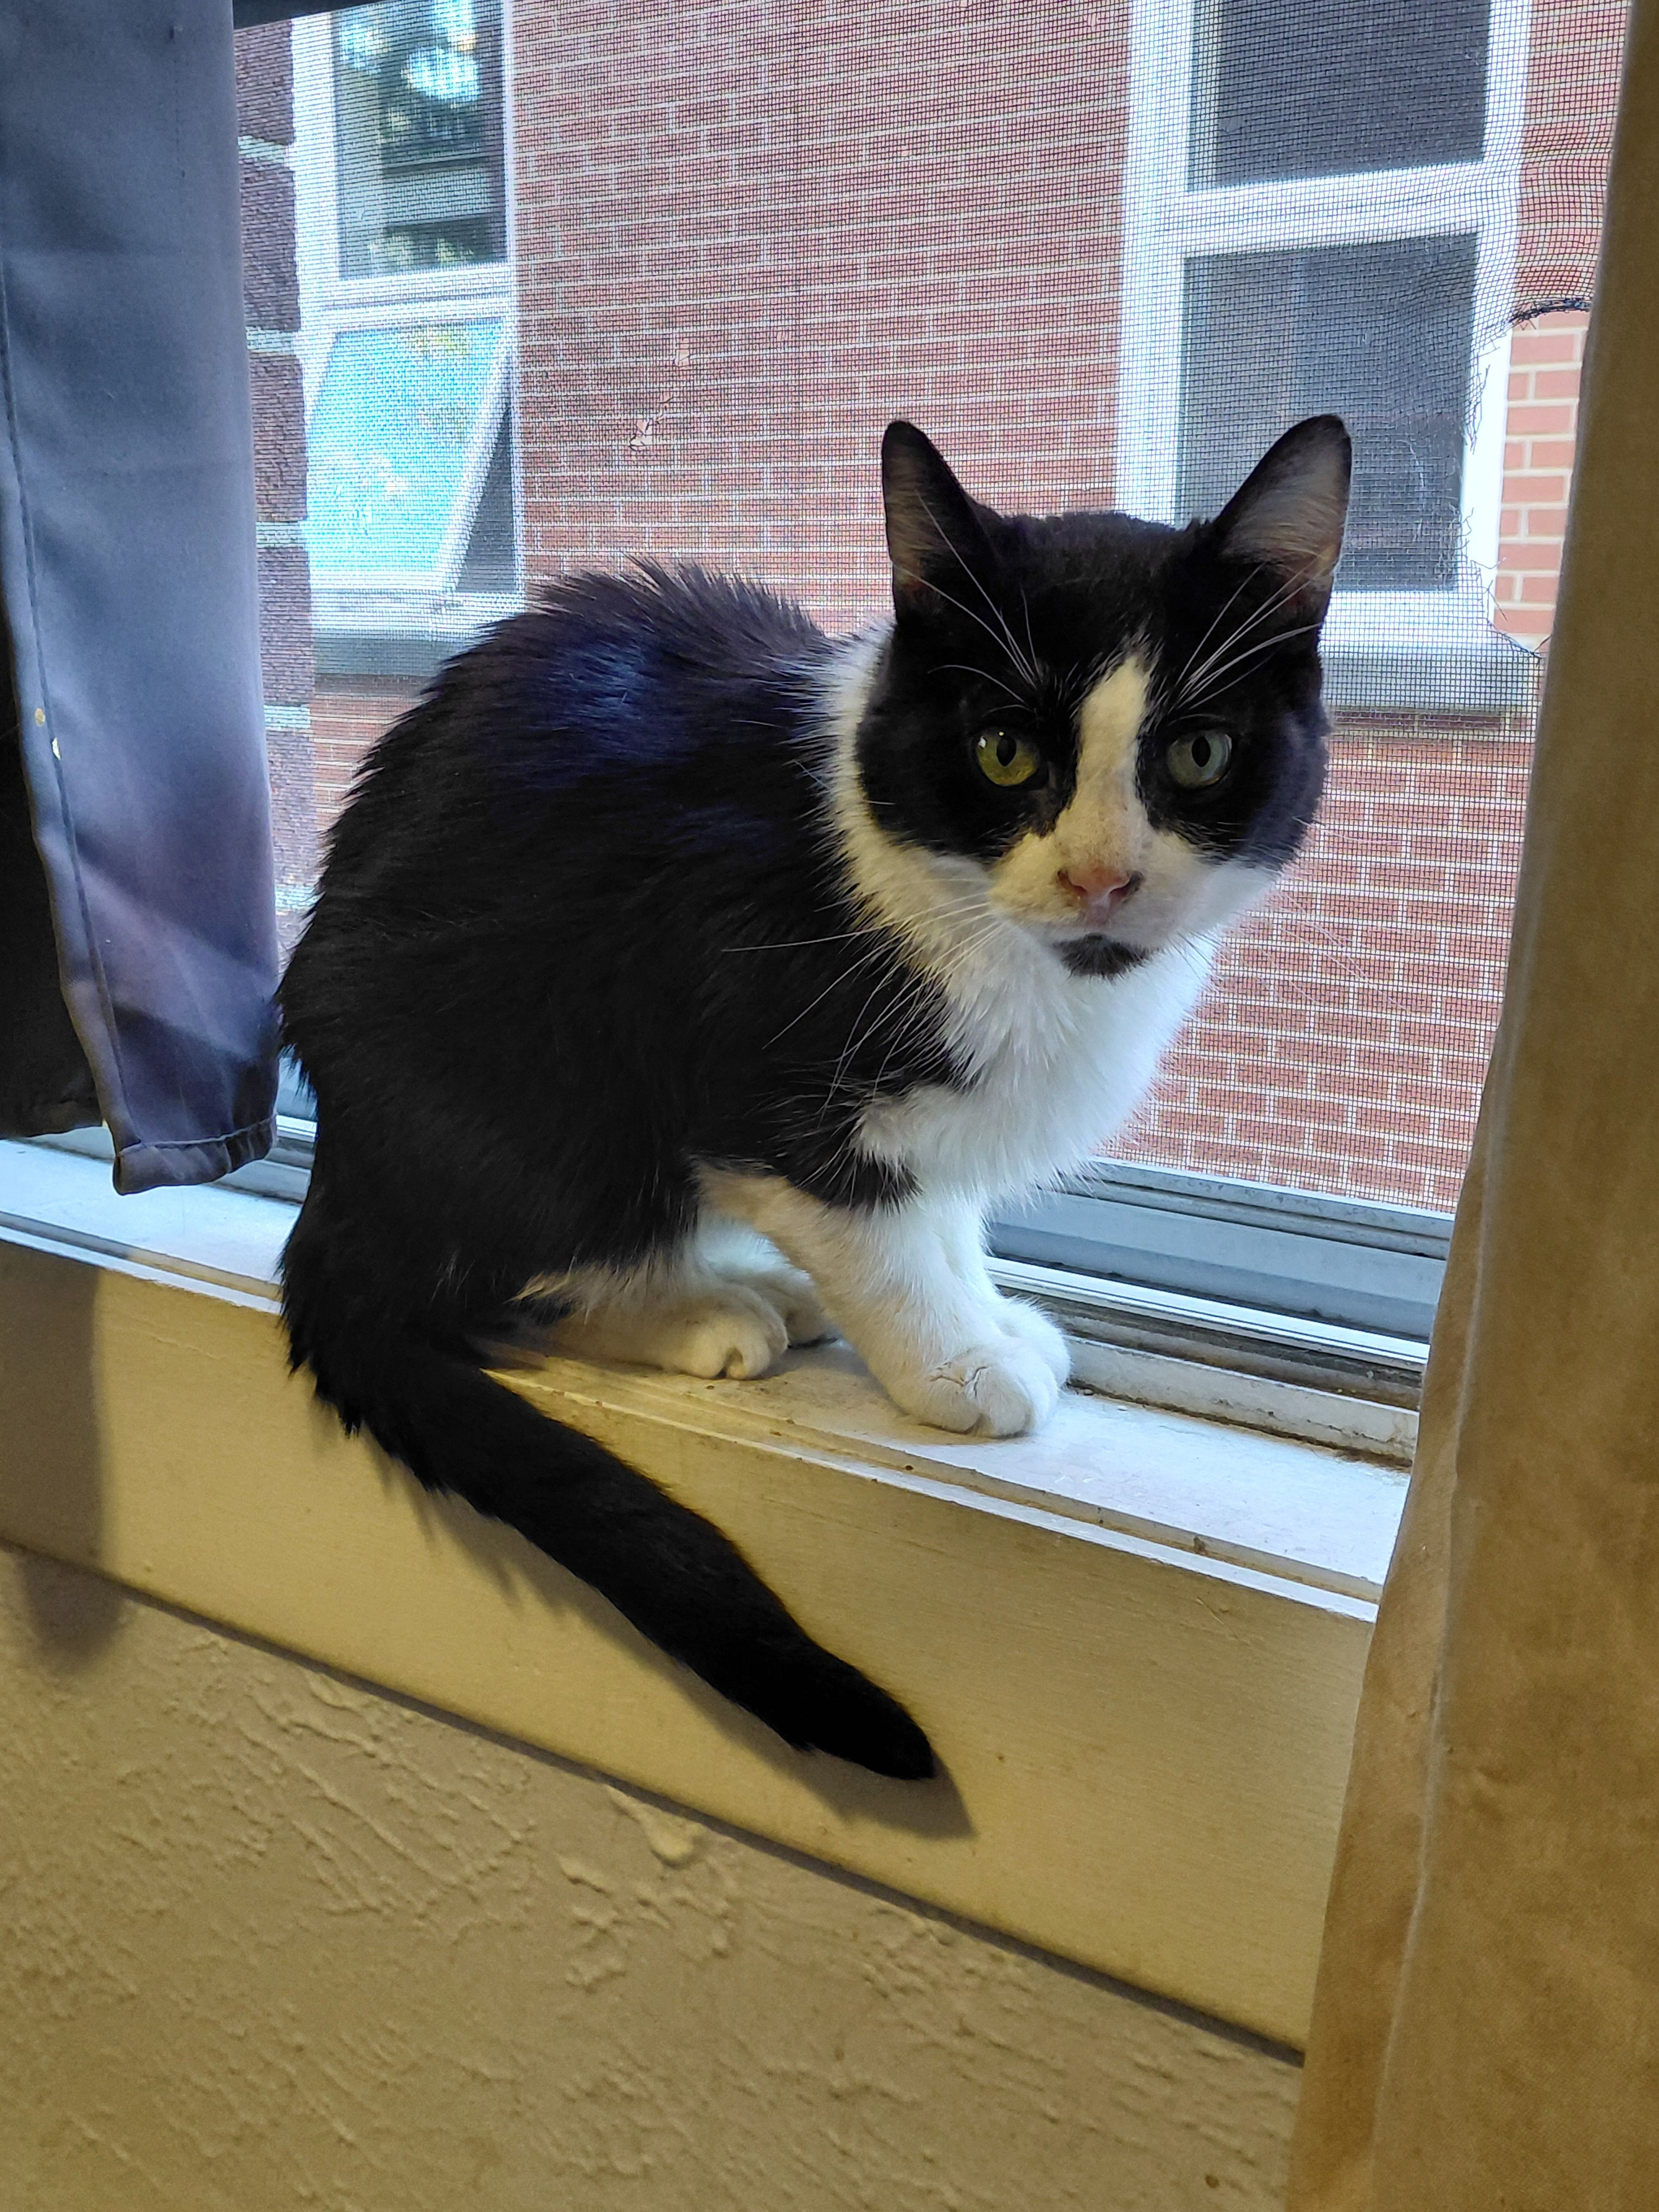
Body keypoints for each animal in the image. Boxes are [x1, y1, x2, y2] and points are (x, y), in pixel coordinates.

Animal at [279, 413, 1350, 1780]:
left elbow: (940, 1200)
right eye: (1005, 749)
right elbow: (867, 1215)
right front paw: (955, 1361)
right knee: (505, 1265)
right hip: (504, 1053)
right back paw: (700, 1307)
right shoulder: (733, 1015)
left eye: (1200, 752)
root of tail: (339, 1183)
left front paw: (985, 1310)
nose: (1101, 876)